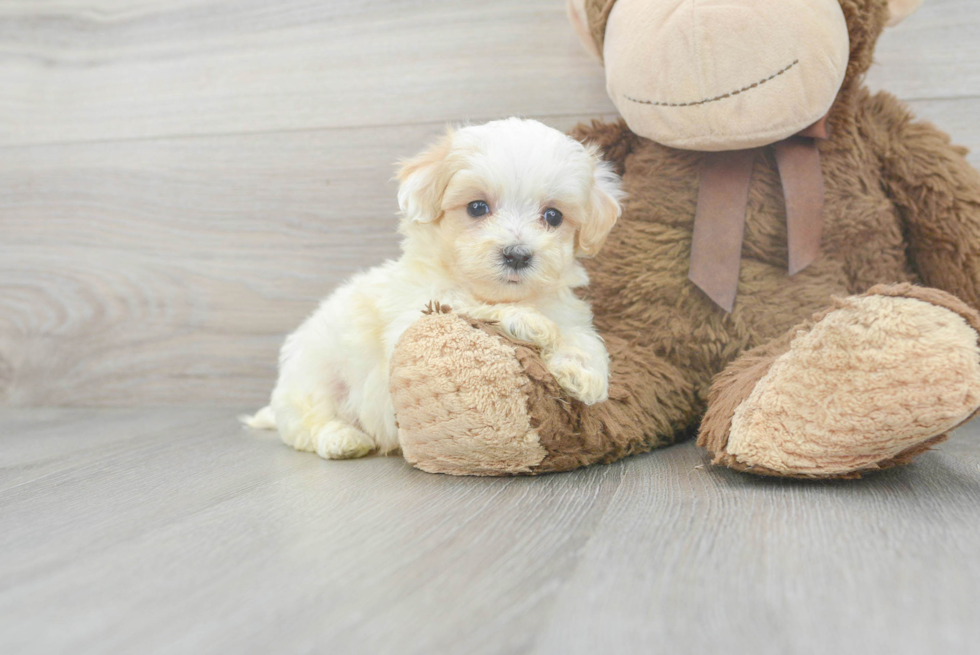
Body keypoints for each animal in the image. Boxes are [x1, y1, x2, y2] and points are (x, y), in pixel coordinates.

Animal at [249, 120, 624, 464]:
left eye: (553, 216)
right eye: (477, 207)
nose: (517, 254)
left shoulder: (567, 312)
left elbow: (581, 336)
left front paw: (585, 374)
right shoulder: (412, 317)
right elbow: (463, 304)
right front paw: (528, 322)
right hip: (314, 378)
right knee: (311, 422)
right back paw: (343, 439)